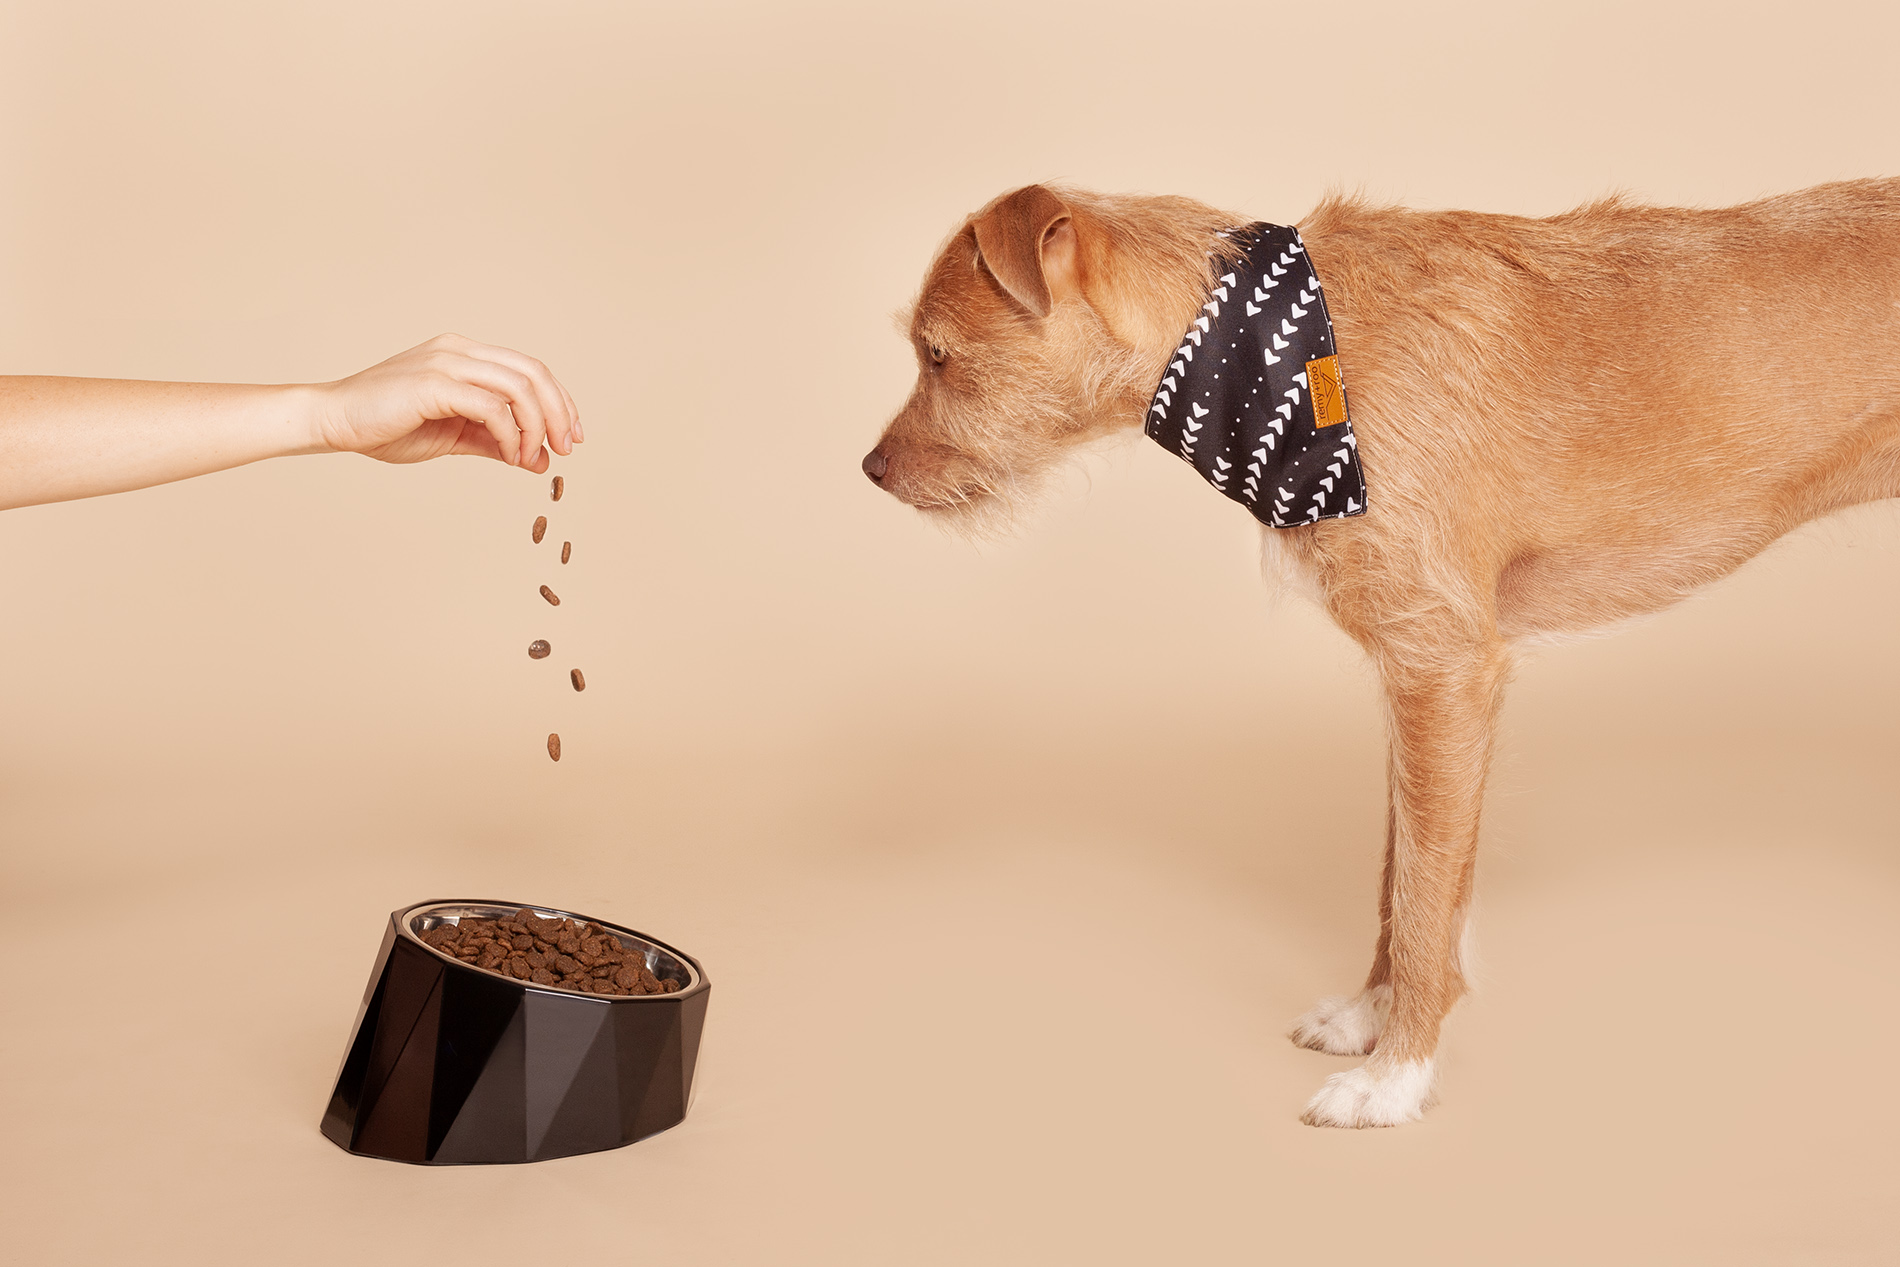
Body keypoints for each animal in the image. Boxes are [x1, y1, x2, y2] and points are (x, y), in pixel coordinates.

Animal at [866, 178, 1900, 1132]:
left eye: (937, 355)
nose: (870, 471)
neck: (1280, 354)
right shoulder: (1416, 682)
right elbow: (1402, 877)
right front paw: (1372, 1016)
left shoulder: (1445, 670)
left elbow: (1424, 890)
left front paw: (1394, 1076)